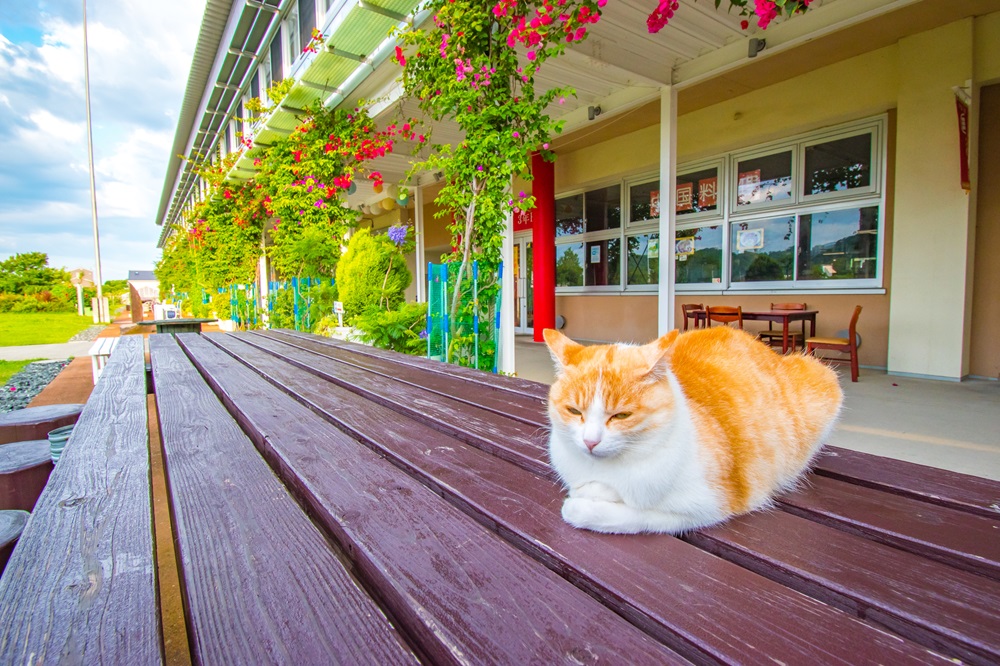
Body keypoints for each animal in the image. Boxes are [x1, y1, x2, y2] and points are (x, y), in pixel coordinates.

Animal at [544, 324, 840, 532]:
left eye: (621, 415)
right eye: (574, 411)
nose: (590, 442)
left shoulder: (708, 505)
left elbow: (631, 515)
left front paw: (584, 503)